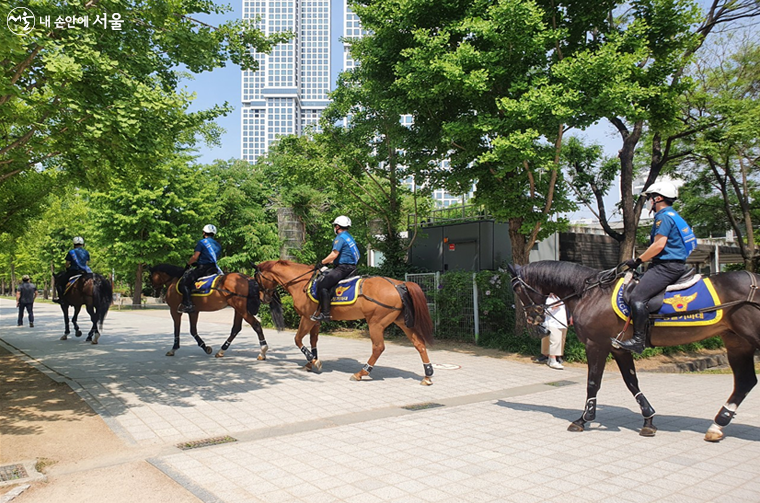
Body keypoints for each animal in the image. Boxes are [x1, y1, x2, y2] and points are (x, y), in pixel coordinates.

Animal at [146, 266, 282, 360]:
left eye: (150, 277)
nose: (155, 292)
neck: (175, 281)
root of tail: (248, 278)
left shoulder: (175, 311)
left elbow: (177, 330)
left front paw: (174, 348)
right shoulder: (194, 311)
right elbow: (193, 330)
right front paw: (205, 347)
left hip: (241, 309)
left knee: (256, 325)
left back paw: (262, 351)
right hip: (238, 309)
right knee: (236, 329)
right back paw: (222, 350)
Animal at [254, 260, 434, 386]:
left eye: (257, 279)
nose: (262, 298)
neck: (302, 283)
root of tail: (398, 285)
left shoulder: (306, 318)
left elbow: (298, 339)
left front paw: (313, 360)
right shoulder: (315, 320)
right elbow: (313, 341)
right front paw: (311, 361)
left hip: (375, 323)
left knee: (378, 348)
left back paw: (361, 373)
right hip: (402, 322)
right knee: (419, 344)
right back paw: (427, 375)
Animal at [508, 262, 760, 442]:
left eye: (518, 289)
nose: (535, 322)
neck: (590, 293)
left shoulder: (596, 344)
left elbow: (593, 383)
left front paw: (584, 418)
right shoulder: (618, 348)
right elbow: (632, 382)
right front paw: (648, 419)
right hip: (737, 341)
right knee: (745, 381)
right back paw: (717, 425)